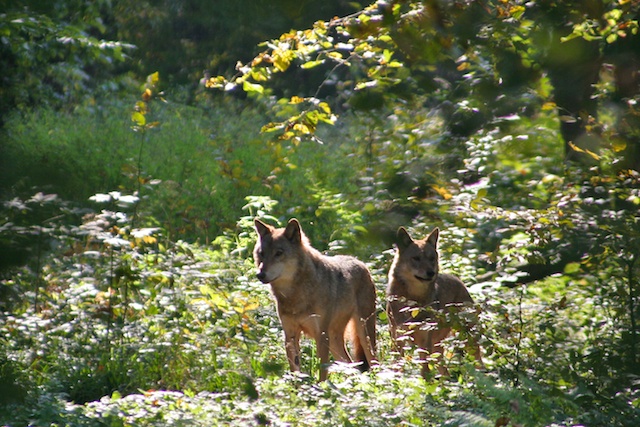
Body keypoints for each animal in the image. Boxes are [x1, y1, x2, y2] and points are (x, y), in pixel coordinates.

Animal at [254, 219, 378, 382]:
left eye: (279, 253)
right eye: (261, 254)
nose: (260, 274)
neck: (296, 295)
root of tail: (361, 262)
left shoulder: (321, 336)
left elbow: (322, 372)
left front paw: (321, 387)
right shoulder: (290, 335)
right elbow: (295, 371)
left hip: (364, 336)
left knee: (374, 363)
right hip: (335, 341)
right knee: (352, 365)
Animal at [384, 227, 480, 378]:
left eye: (432, 258)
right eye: (416, 258)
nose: (431, 272)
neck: (414, 300)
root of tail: (458, 280)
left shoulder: (425, 340)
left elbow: (425, 370)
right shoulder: (398, 336)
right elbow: (397, 365)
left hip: (468, 337)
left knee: (478, 359)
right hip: (437, 346)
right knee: (443, 367)